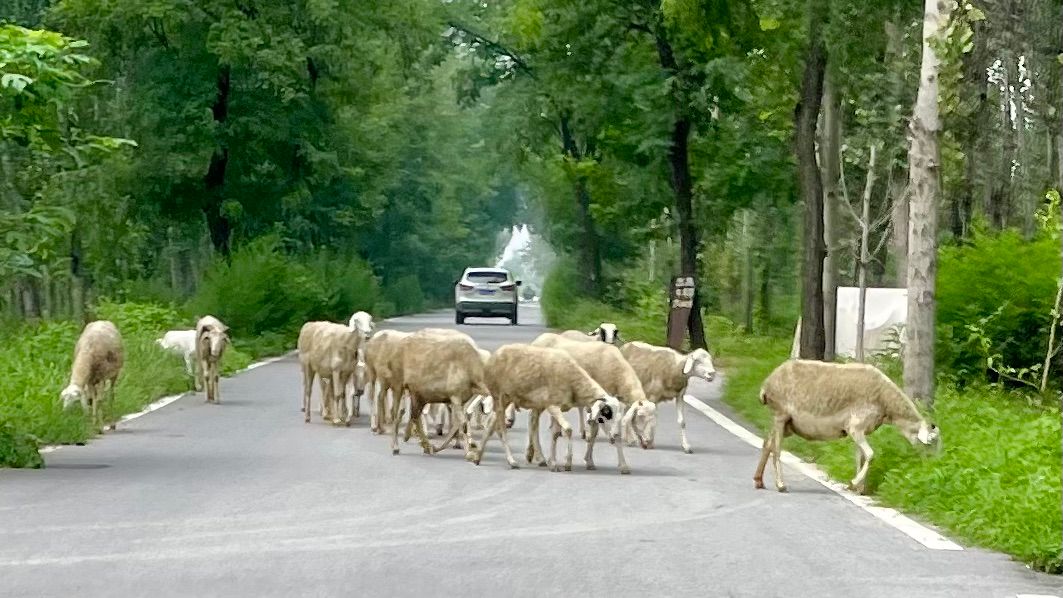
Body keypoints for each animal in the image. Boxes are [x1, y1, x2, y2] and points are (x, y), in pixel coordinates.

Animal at [391, 329, 488, 460]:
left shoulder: (460, 400)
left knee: (414, 416)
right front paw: (469, 452)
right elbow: (462, 424)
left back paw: (426, 445)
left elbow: (457, 425)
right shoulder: (455, 396)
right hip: (398, 385)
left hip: (419, 394)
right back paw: (396, 447)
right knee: (397, 414)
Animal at [474, 344, 629, 475]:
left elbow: (555, 433)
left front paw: (553, 463)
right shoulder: (553, 405)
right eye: (605, 415)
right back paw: (512, 461)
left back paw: (477, 456)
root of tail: (495, 355)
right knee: (501, 429)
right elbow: (568, 429)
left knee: (492, 424)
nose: (615, 435)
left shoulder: (557, 407)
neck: (575, 384)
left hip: (508, 399)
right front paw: (567, 462)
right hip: (499, 396)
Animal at [752, 359, 943, 492]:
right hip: (780, 415)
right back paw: (781, 484)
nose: (933, 465)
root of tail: (766, 385)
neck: (887, 405)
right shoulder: (855, 427)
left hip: (788, 425)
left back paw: (759, 481)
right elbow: (871, 455)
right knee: (776, 449)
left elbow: (861, 457)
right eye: (932, 442)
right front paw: (854, 483)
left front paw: (859, 489)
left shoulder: (861, 431)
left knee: (767, 443)